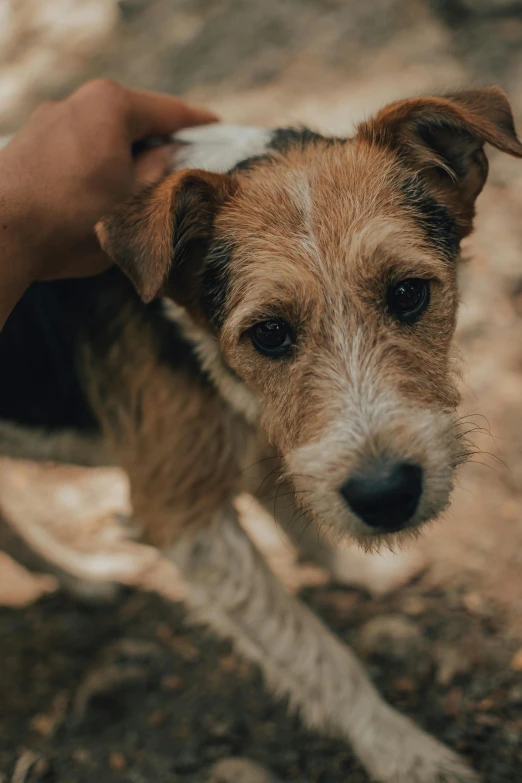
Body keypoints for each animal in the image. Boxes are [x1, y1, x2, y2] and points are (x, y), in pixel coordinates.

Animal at [1, 87, 520, 783]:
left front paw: (364, 574)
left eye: (409, 292)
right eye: (268, 333)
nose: (386, 496)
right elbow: (313, 650)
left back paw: (84, 580)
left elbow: (303, 520)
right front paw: (403, 751)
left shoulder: (269, 436)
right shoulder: (180, 513)